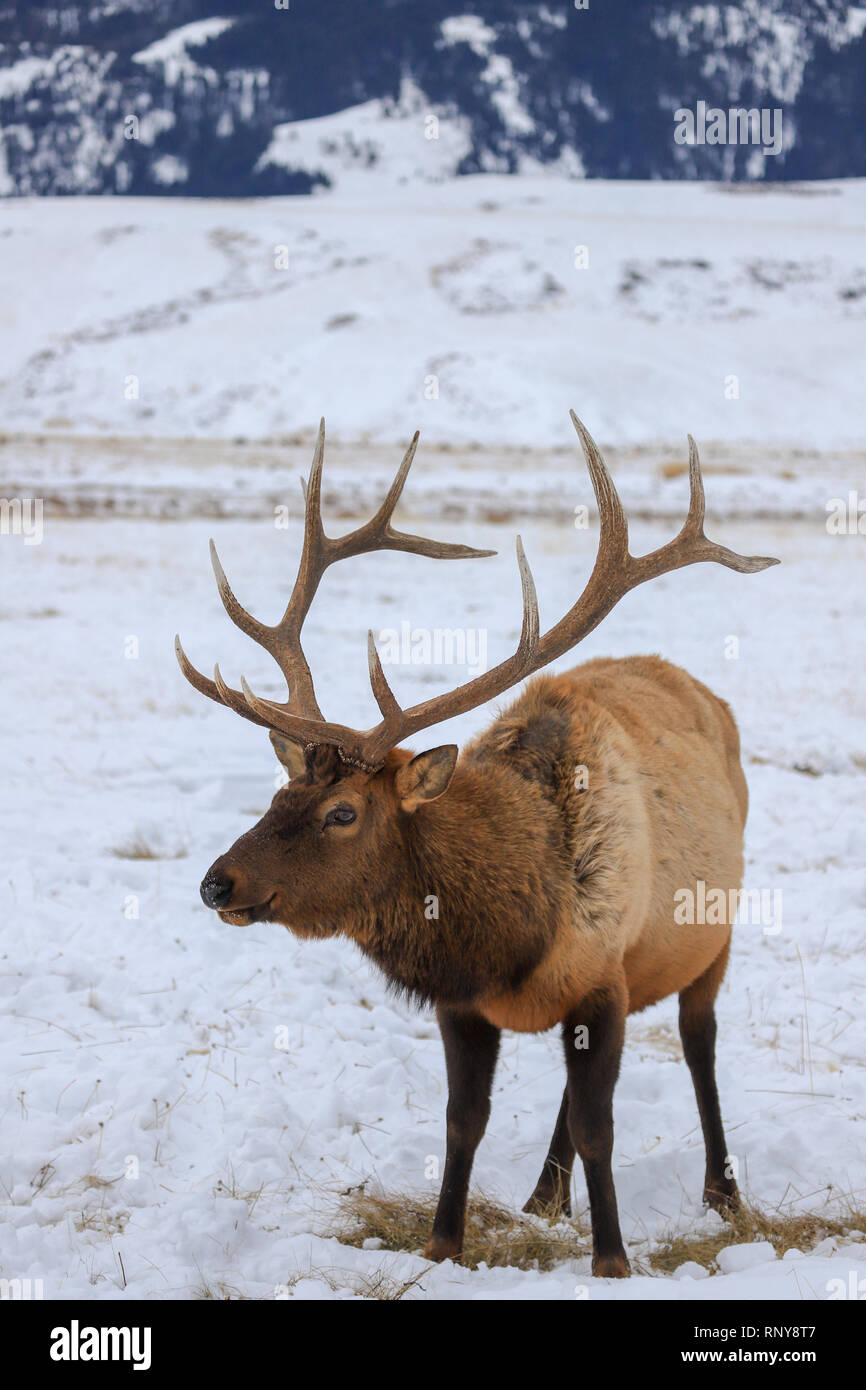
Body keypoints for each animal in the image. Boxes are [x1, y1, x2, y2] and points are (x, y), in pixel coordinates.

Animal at [176, 411, 778, 1277]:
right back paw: (544, 1197)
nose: (216, 883)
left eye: (343, 813)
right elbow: (465, 1120)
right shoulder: (468, 1005)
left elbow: (601, 1126)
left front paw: (612, 1261)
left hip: (711, 935)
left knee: (700, 1045)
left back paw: (722, 1193)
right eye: (280, 794)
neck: (513, 938)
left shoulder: (605, 979)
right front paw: (440, 1245)